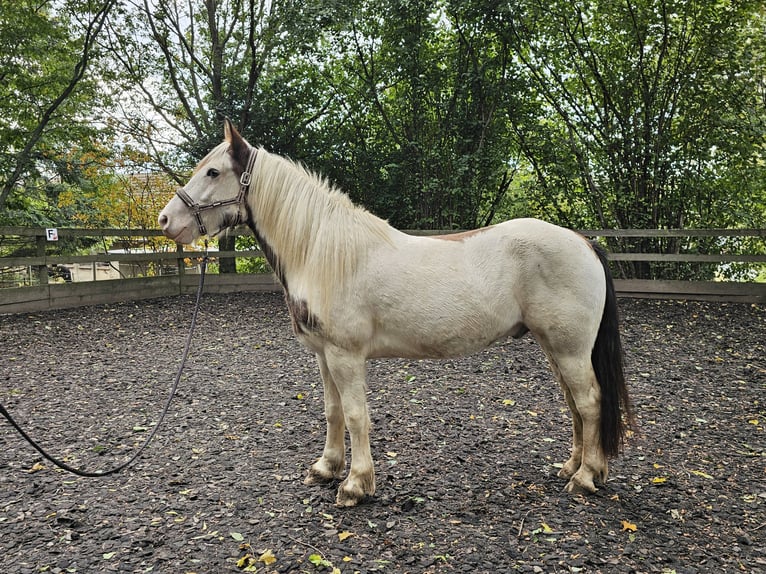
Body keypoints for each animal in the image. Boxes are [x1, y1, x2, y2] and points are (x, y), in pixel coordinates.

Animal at [159, 120, 632, 508]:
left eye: (213, 172)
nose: (166, 221)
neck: (322, 252)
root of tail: (584, 242)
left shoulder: (346, 355)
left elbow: (356, 415)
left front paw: (355, 485)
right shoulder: (323, 355)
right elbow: (332, 411)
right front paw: (326, 468)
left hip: (570, 349)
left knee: (589, 402)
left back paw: (585, 478)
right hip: (555, 347)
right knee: (574, 404)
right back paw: (573, 467)